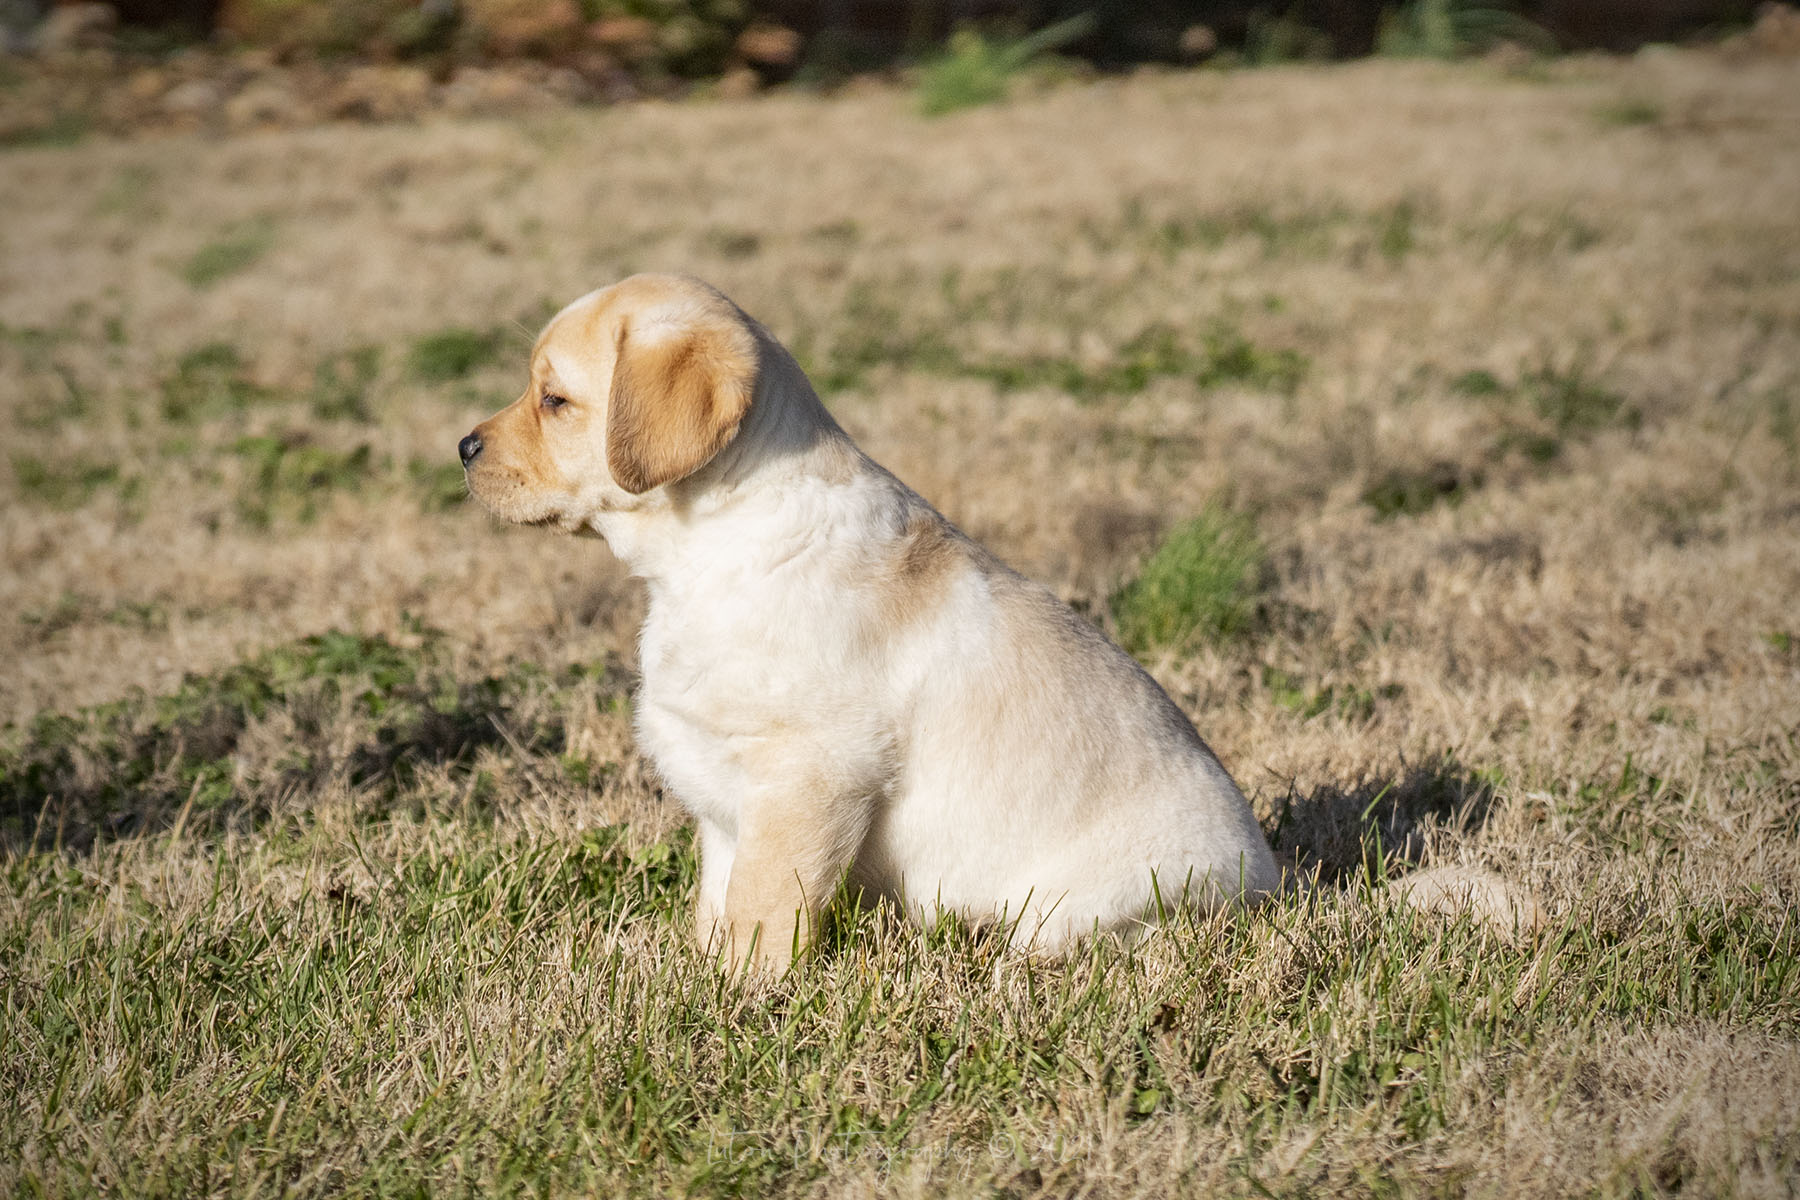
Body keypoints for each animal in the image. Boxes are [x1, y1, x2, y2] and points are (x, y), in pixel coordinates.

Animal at [461, 274, 1280, 971]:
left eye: (554, 399)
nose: (463, 447)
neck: (706, 553)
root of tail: (1273, 882)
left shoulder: (810, 775)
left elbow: (762, 914)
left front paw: (741, 1002)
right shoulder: (725, 801)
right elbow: (717, 905)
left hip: (1087, 909)